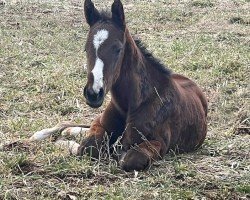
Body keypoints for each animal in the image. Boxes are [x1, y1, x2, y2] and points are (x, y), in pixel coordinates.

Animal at [78, 0, 207, 172]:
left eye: (118, 49)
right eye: (86, 48)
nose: (93, 93)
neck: (130, 104)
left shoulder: (159, 143)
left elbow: (131, 158)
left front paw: (119, 152)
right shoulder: (99, 124)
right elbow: (87, 148)